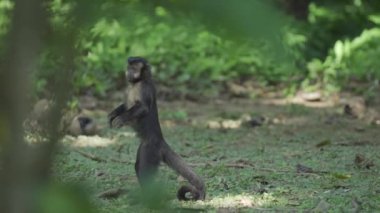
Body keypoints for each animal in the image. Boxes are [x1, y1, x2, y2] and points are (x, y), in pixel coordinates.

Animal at [108, 56, 206, 200]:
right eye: (129, 67)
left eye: (134, 68)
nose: (129, 73)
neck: (137, 82)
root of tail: (160, 140)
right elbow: (125, 105)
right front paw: (112, 115)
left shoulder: (144, 88)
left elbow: (143, 108)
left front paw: (120, 119)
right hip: (144, 147)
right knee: (138, 167)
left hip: (150, 150)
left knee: (143, 171)